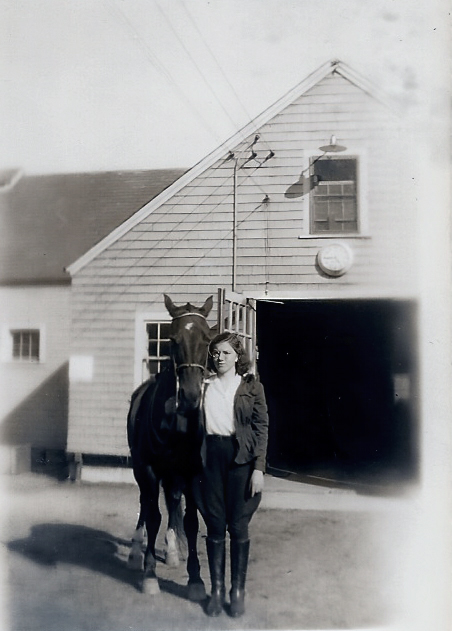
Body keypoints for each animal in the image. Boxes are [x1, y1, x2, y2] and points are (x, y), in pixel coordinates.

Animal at [126, 294, 213, 600]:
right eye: (172, 339)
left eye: (207, 339)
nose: (190, 395)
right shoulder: (149, 469)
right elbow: (153, 516)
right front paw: (150, 575)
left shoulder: (191, 473)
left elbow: (190, 521)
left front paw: (195, 579)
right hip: (140, 469)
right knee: (145, 503)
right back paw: (136, 551)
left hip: (174, 475)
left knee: (173, 501)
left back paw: (174, 550)